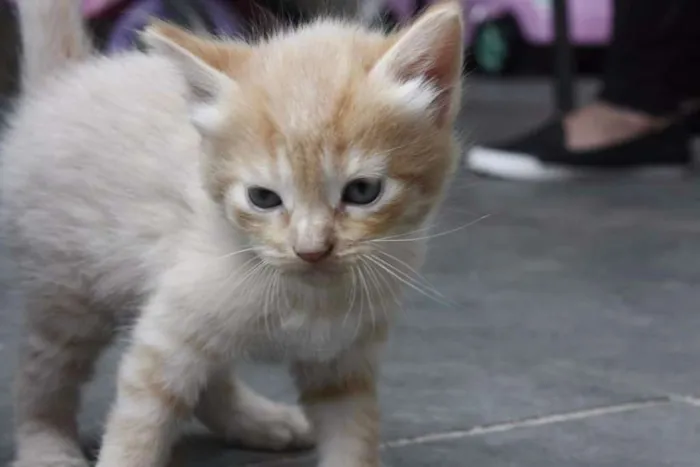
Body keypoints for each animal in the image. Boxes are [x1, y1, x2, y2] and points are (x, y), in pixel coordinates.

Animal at [2, 1, 464, 466]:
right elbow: (140, 423)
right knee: (41, 371)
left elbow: (353, 433)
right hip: (69, 295)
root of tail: (69, 80)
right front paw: (122, 455)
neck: (310, 298)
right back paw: (46, 446)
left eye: (362, 191)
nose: (311, 249)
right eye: (263, 198)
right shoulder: (167, 334)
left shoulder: (343, 362)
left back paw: (260, 422)